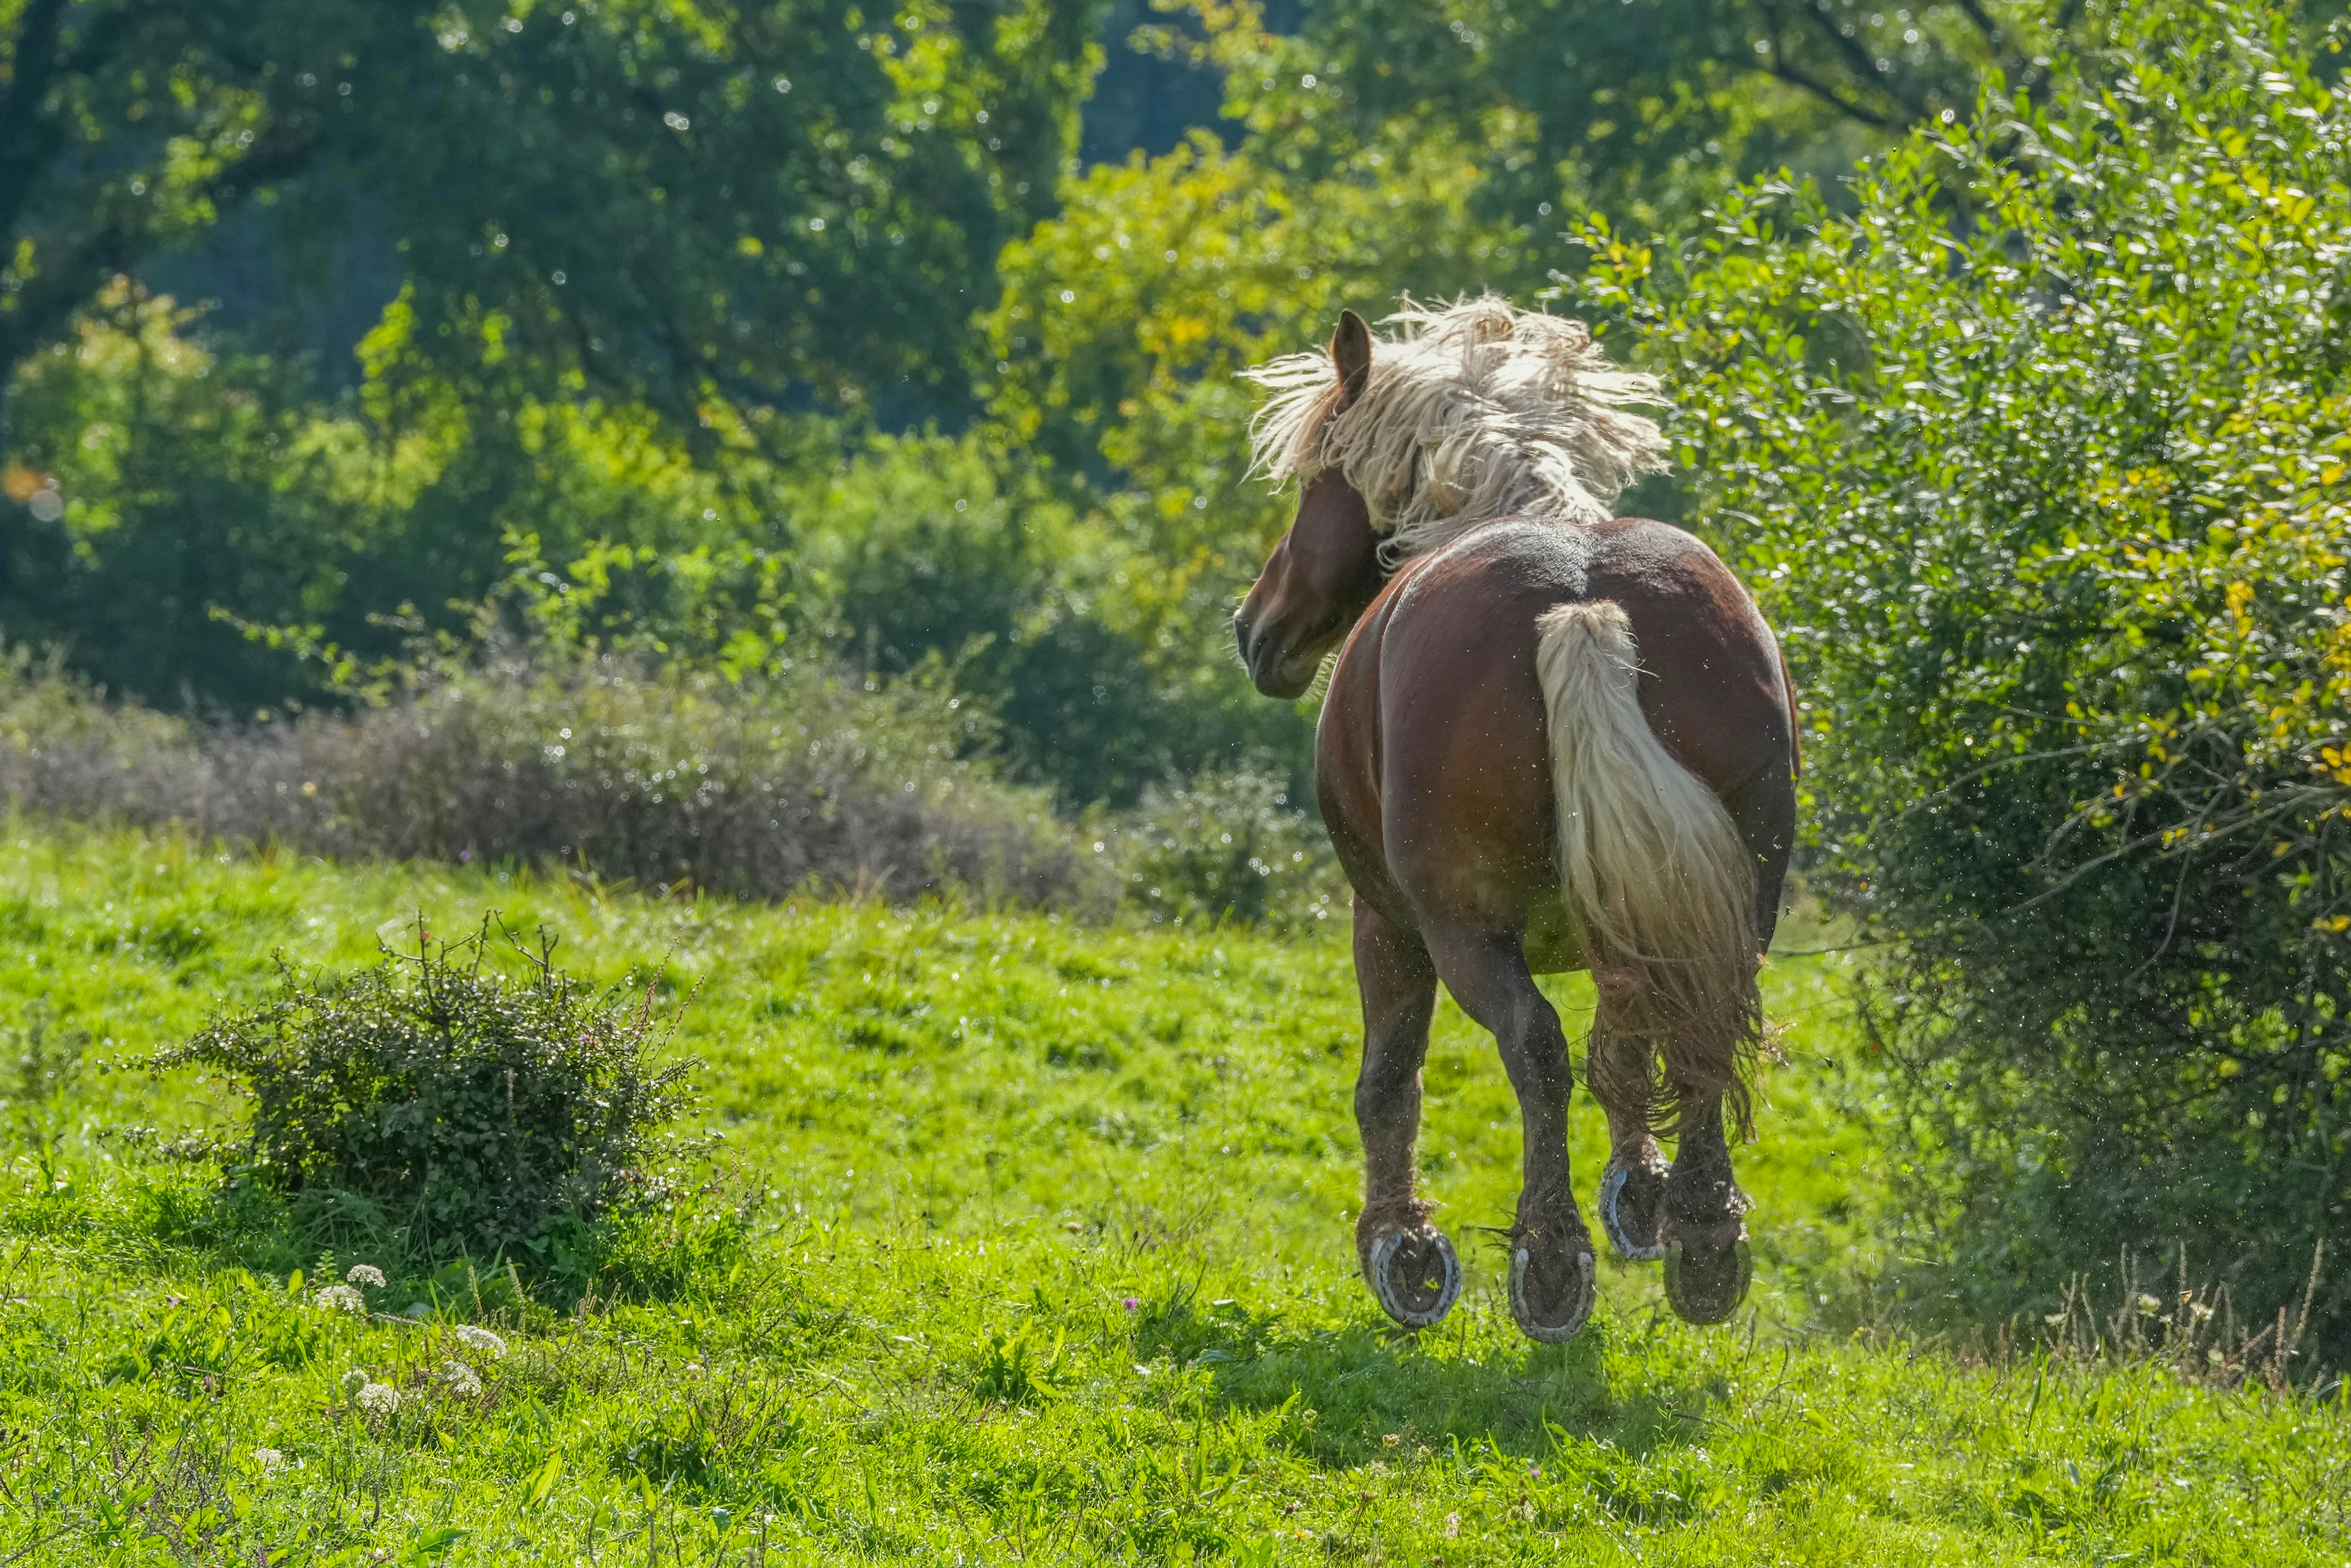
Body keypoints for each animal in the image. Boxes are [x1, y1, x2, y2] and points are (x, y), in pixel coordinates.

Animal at [1232, 297, 1797, 1341]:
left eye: (1317, 478)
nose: (1259, 629)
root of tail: (1583, 608)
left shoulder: (1384, 921)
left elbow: (1391, 1079)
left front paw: (1403, 1245)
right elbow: (1628, 1038)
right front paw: (1644, 1193)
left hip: (1457, 929)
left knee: (1533, 1048)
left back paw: (1549, 1256)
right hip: (1737, 905)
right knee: (1694, 1024)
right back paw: (1705, 1241)